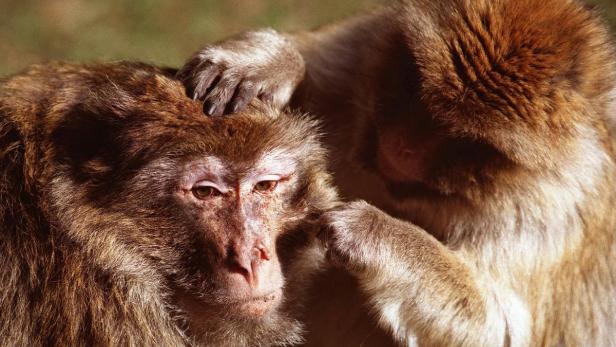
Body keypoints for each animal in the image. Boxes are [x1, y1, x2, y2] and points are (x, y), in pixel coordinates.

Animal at [177, 0, 616, 346]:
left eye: (462, 140)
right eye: (417, 94)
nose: (401, 147)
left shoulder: (548, 215)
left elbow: (498, 326)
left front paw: (373, 232)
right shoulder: (362, 53)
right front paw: (270, 63)